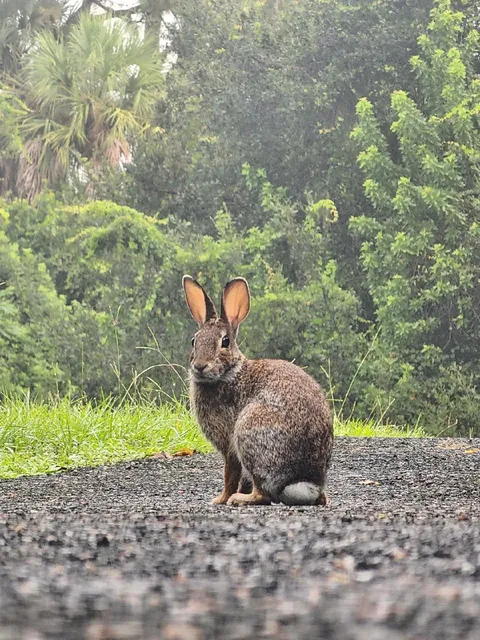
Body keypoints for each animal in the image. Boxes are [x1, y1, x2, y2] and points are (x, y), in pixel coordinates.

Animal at [182, 275, 333, 506]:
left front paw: (220, 499)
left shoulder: (230, 445)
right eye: (194, 340)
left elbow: (230, 473)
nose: (199, 366)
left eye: (225, 341)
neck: (229, 372)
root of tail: (306, 481)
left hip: (250, 433)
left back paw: (239, 499)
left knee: (263, 493)